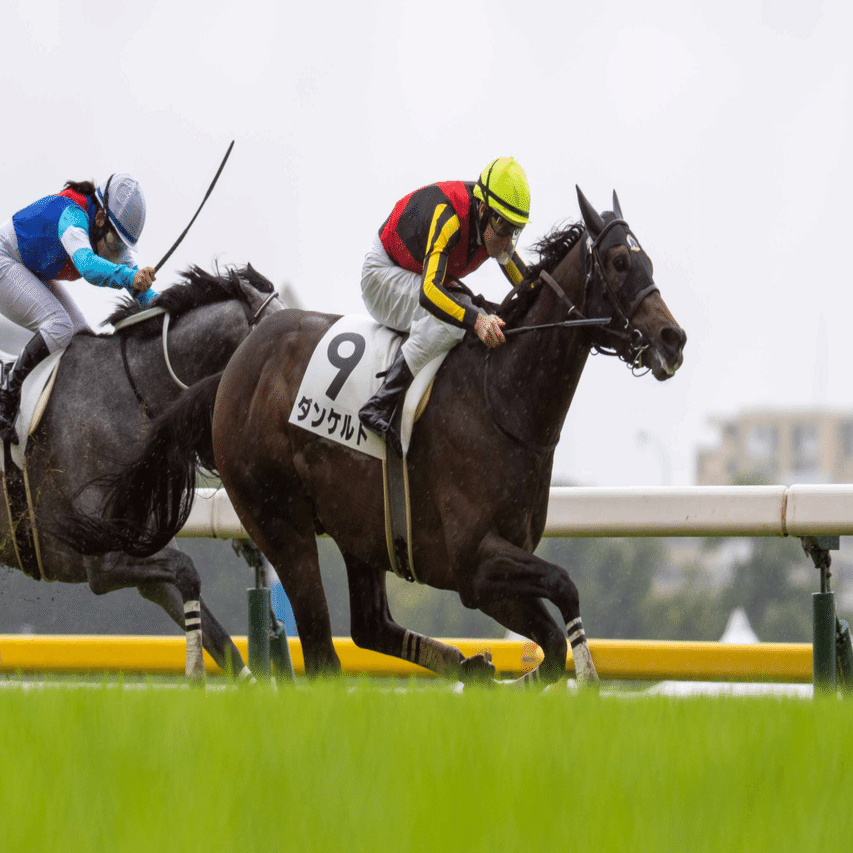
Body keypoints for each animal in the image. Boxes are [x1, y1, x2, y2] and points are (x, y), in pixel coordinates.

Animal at [4, 264, 283, 681]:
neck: (133, 395)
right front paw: (195, 674)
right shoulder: (102, 560)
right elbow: (189, 573)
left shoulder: (144, 551)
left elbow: (221, 640)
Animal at [60, 187, 686, 687]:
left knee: (369, 626)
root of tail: (231, 373)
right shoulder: (473, 563)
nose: (672, 339)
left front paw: (505, 673)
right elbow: (565, 591)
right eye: (619, 260)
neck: (501, 399)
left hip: (361, 529)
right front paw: (583, 676)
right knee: (322, 654)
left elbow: (553, 647)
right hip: (281, 521)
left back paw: (467, 664)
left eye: (649, 259)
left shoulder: (489, 575)